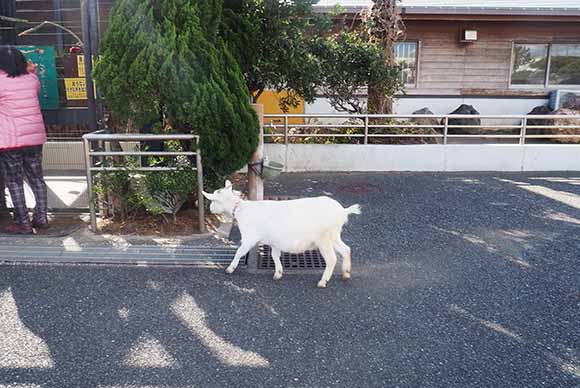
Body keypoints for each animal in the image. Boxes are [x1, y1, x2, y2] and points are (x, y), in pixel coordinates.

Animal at [202, 180, 360, 286]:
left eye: (214, 200)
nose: (210, 209)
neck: (239, 209)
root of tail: (342, 211)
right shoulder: (274, 241)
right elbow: (274, 255)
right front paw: (278, 273)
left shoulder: (249, 238)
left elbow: (239, 252)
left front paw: (230, 268)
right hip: (334, 235)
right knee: (346, 249)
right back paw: (346, 273)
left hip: (324, 239)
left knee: (332, 259)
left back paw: (323, 281)